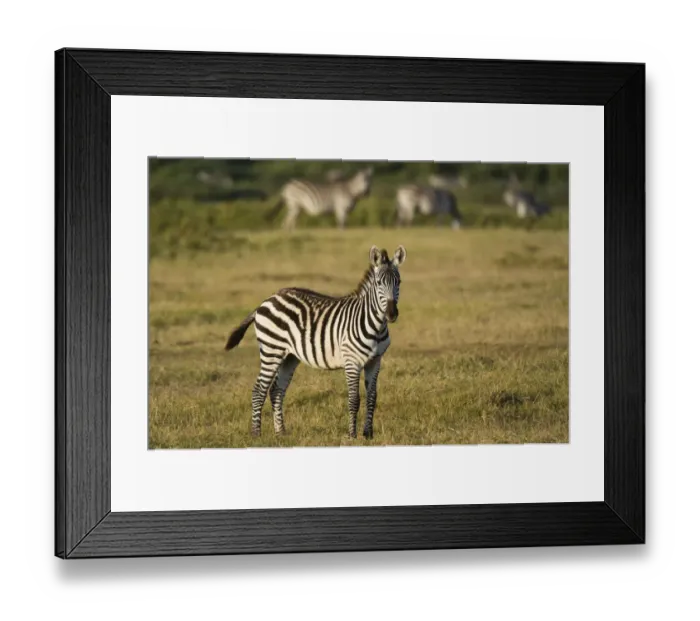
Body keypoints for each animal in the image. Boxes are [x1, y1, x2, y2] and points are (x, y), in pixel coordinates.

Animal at [224, 244, 407, 440]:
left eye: (399, 282)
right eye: (379, 283)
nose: (392, 314)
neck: (374, 325)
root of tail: (266, 300)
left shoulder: (375, 361)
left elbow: (372, 398)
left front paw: (368, 435)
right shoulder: (352, 361)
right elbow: (354, 399)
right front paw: (352, 435)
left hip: (289, 357)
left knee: (276, 390)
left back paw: (281, 432)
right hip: (271, 351)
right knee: (259, 390)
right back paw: (256, 434)